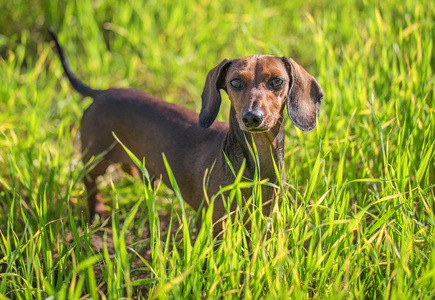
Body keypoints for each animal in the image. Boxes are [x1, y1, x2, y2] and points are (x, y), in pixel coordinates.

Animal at [50, 28, 324, 234]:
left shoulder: (265, 218)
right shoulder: (215, 224)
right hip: (95, 159)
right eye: (235, 82)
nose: (251, 118)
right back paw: (97, 211)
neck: (256, 162)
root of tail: (101, 93)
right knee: (90, 183)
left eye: (277, 81)